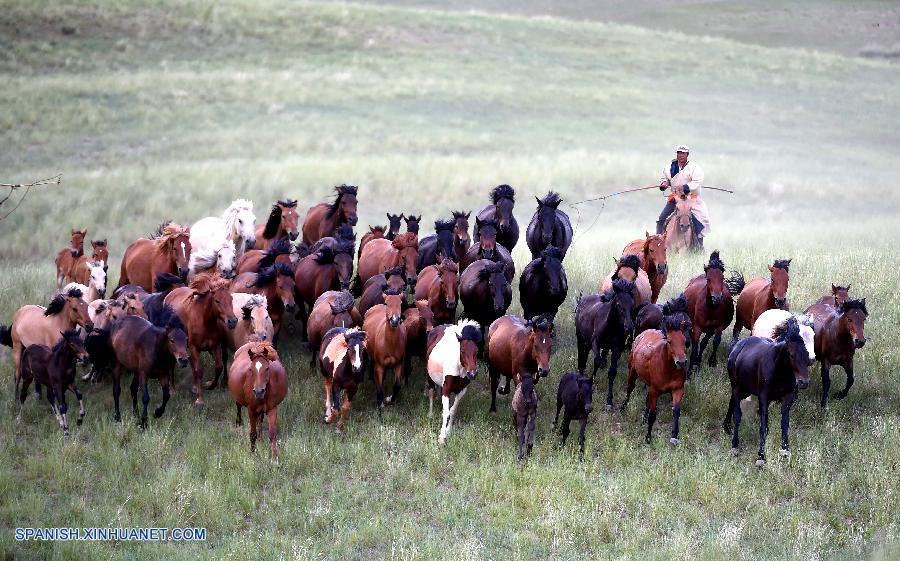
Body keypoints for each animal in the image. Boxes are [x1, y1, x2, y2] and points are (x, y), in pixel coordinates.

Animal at [164, 273, 238, 404]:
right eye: (217, 300)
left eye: (231, 299)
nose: (232, 321)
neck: (205, 322)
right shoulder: (194, 347)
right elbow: (199, 370)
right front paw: (199, 399)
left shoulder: (214, 346)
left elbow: (218, 367)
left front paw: (210, 385)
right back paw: (172, 390)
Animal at [574, 278, 635, 409]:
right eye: (619, 304)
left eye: (632, 304)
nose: (629, 327)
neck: (610, 326)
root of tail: (582, 300)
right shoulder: (595, 342)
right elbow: (597, 361)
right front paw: (591, 382)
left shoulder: (617, 347)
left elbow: (612, 372)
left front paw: (609, 400)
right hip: (580, 337)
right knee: (581, 355)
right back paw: (581, 374)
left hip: (588, 341)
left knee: (585, 354)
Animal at [621, 315, 692, 445]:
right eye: (670, 342)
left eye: (684, 341)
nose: (681, 363)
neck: (668, 370)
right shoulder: (655, 391)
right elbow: (653, 415)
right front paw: (648, 438)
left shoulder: (678, 389)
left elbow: (676, 411)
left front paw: (674, 436)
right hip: (632, 371)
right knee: (629, 388)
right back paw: (622, 408)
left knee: (646, 399)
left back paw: (643, 419)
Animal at [723, 316, 810, 466]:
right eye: (791, 354)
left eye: (806, 353)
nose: (803, 382)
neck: (780, 371)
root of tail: (737, 345)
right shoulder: (764, 397)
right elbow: (764, 427)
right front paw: (761, 456)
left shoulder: (787, 397)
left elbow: (785, 423)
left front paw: (785, 450)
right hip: (737, 387)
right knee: (737, 413)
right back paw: (734, 445)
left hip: (746, 389)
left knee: (732, 402)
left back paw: (727, 427)